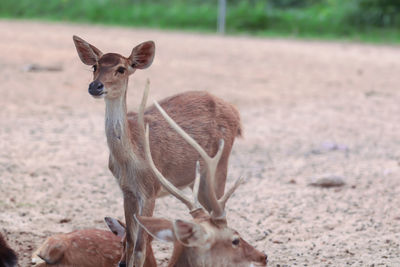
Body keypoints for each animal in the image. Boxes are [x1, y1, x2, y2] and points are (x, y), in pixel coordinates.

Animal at [71, 36, 241, 267]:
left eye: (121, 69)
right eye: (95, 66)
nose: (95, 86)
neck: (130, 158)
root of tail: (236, 112)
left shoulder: (150, 189)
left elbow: (140, 247)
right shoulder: (127, 190)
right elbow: (129, 242)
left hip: (219, 167)